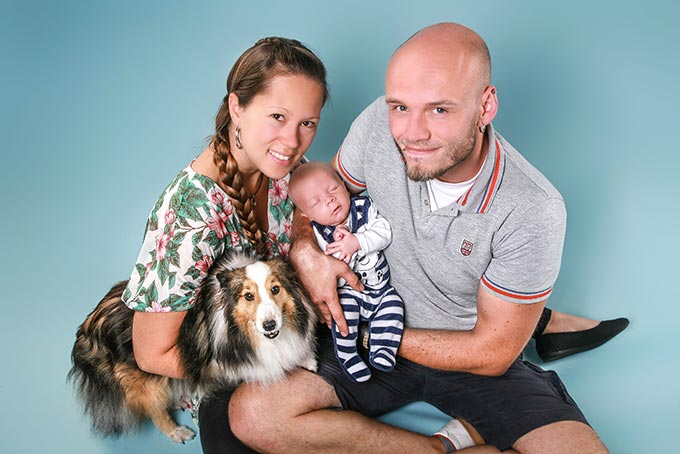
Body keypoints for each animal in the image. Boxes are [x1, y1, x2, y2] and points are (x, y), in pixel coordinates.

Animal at [67, 250, 318, 442]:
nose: (269, 325)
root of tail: (87, 328)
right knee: (154, 409)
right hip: (144, 381)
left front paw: (306, 358)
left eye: (275, 289)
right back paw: (177, 431)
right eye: (248, 296)